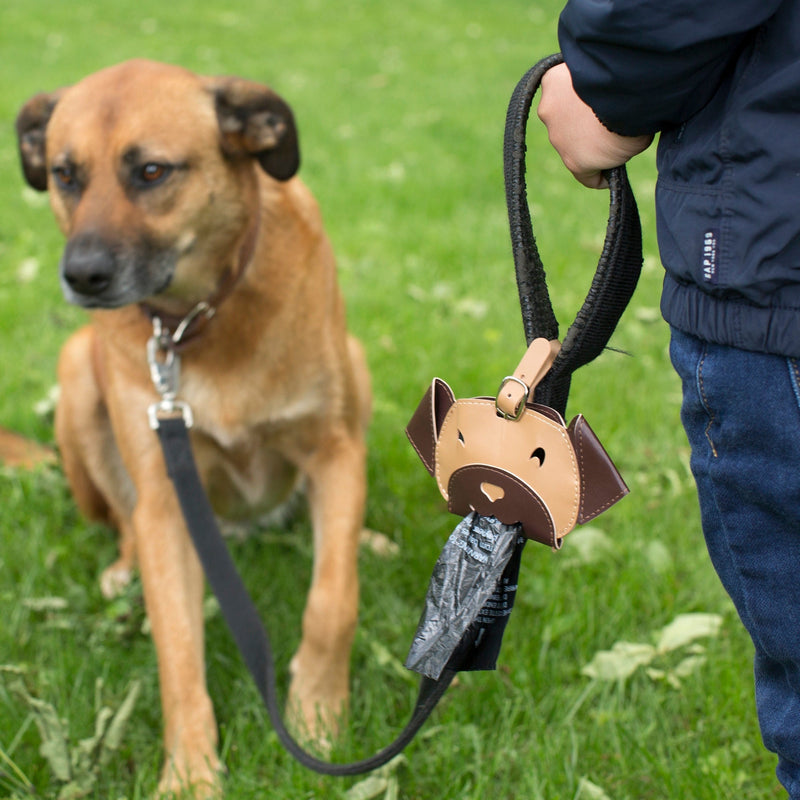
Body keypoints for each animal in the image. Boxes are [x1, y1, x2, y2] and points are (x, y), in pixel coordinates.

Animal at [15, 59, 372, 796]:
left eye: (152, 171)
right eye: (65, 174)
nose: (82, 276)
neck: (199, 321)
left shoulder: (335, 452)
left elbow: (333, 601)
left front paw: (318, 714)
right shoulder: (164, 502)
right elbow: (177, 649)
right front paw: (189, 773)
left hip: (357, 363)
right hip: (78, 373)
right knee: (122, 528)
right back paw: (120, 572)